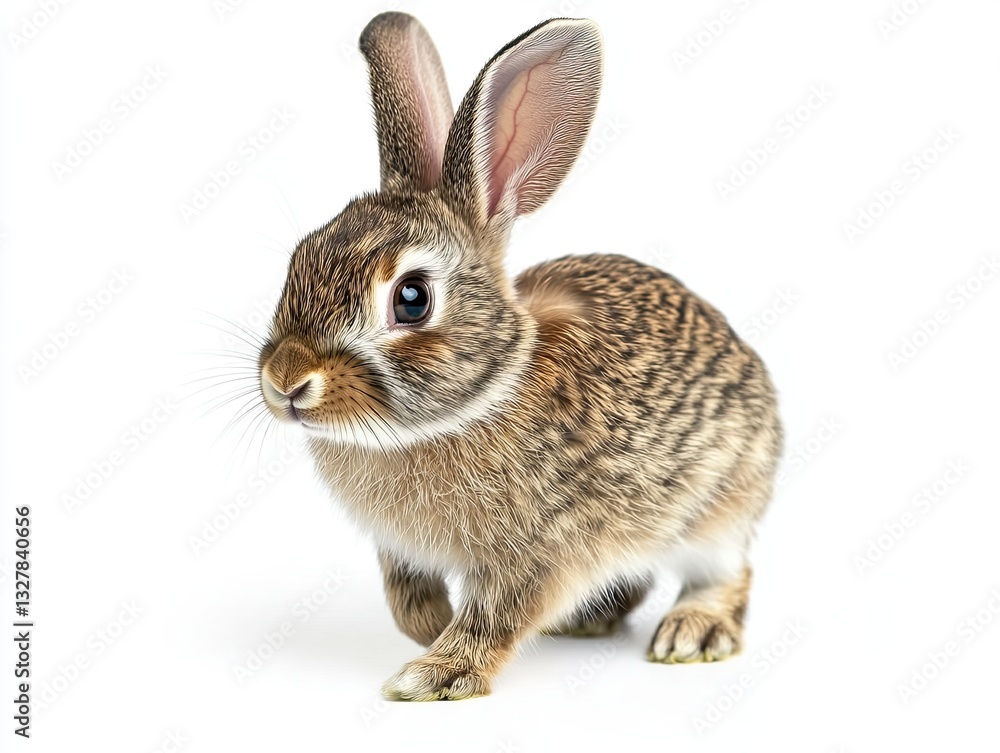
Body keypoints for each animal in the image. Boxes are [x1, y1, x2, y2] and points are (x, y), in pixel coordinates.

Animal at [257, 12, 783, 701]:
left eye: (412, 299)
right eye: (298, 259)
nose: (286, 381)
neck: (482, 396)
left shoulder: (540, 549)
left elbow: (494, 616)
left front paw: (432, 675)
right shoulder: (399, 551)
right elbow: (406, 601)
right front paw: (430, 627)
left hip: (721, 507)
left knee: (726, 574)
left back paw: (692, 633)